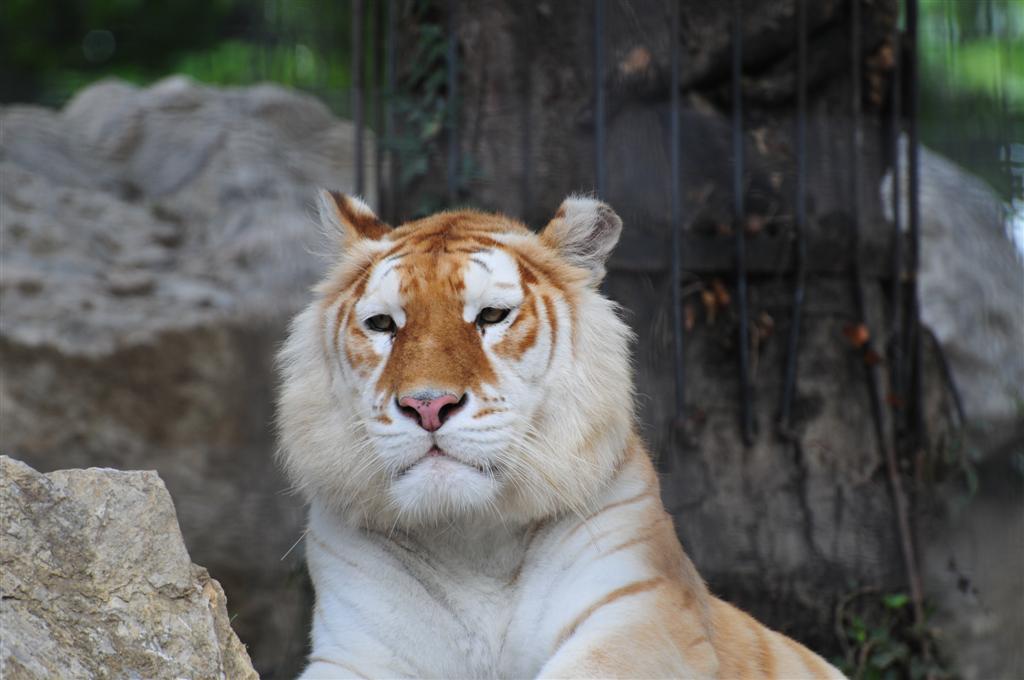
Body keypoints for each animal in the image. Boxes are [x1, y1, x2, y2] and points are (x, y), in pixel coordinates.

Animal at [276, 191, 845, 679]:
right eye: (382, 325)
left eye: (491, 316)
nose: (428, 405)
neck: (471, 541)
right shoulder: (353, 653)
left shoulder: (642, 613)